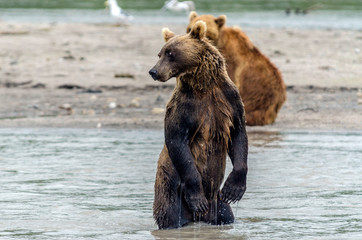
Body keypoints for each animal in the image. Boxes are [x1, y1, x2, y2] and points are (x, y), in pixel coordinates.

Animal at [148, 21, 247, 230]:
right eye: (160, 53)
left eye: (170, 53)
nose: (153, 71)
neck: (204, 85)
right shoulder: (183, 106)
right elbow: (177, 139)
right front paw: (197, 198)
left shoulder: (230, 99)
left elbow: (238, 134)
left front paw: (233, 190)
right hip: (169, 188)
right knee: (169, 215)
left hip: (217, 204)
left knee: (225, 215)